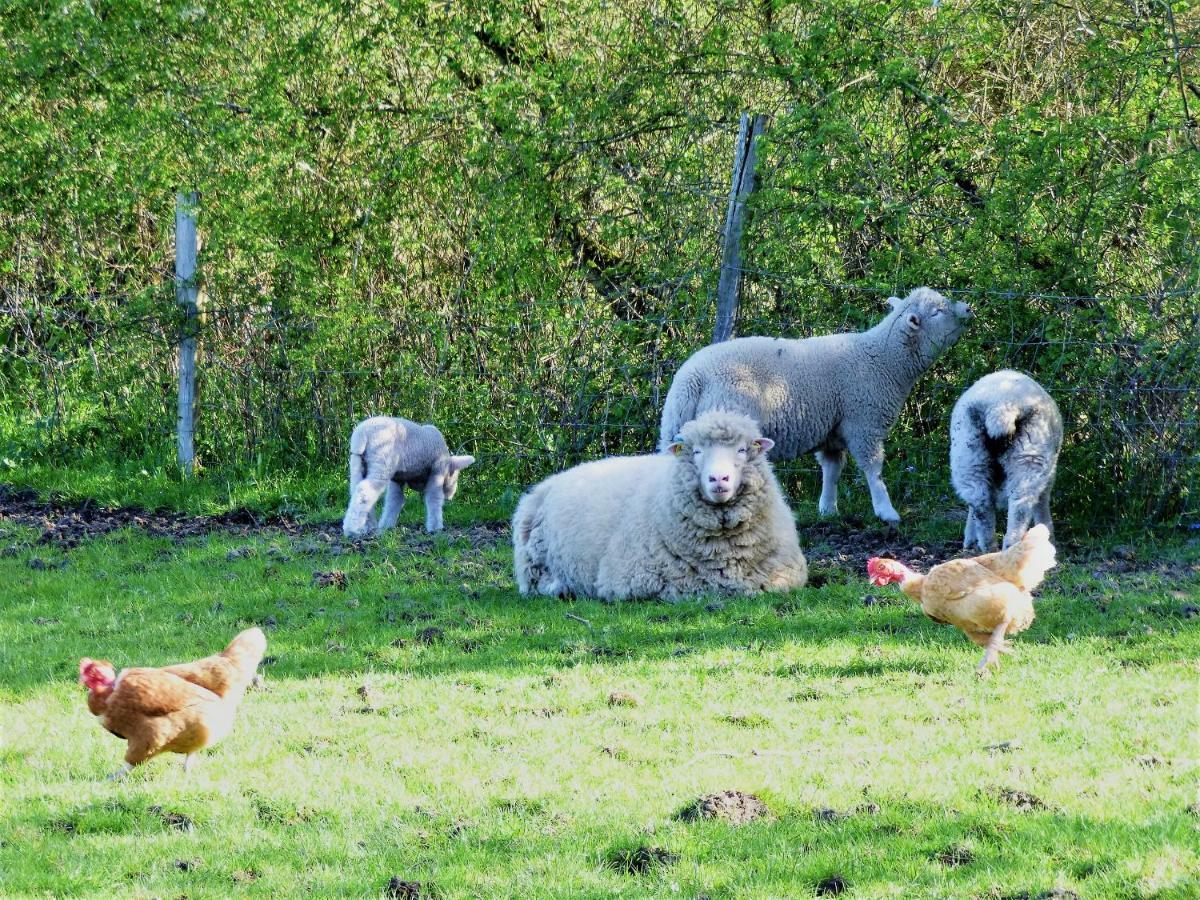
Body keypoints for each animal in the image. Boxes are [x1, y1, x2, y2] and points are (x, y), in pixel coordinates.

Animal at [343, 420, 472, 540]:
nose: (450, 498)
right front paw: (436, 528)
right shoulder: (437, 471)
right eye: (456, 477)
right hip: (381, 462)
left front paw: (386, 526)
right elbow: (434, 499)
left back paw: (368, 526)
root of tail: (362, 433)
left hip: (357, 463)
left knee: (356, 491)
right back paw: (352, 530)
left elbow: (395, 500)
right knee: (364, 491)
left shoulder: (397, 479)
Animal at [513, 412, 806, 602]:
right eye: (697, 451)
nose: (718, 479)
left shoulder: (787, 575)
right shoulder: (635, 580)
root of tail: (544, 486)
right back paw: (561, 588)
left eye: (742, 450)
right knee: (537, 584)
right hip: (535, 562)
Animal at [662, 289, 969, 525]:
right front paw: (886, 511)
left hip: (674, 430)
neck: (884, 360)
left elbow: (832, 470)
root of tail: (691, 379)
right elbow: (874, 469)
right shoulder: (864, 423)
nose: (968, 308)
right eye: (936, 312)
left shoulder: (832, 431)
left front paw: (828, 510)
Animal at [950, 369, 1065, 554]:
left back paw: (988, 546)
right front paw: (1048, 534)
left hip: (969, 454)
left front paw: (970, 539)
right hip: (1029, 456)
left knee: (980, 504)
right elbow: (1042, 501)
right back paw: (1012, 544)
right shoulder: (1049, 471)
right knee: (1020, 505)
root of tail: (1000, 406)